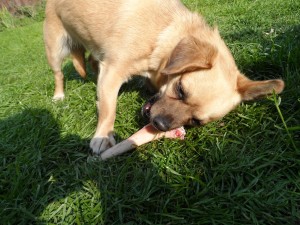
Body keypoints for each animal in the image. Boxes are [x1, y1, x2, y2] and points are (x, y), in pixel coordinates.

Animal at [42, 0, 284, 155]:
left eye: (196, 121)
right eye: (180, 89)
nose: (159, 125)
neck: (163, 33)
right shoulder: (113, 71)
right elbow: (109, 109)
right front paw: (102, 137)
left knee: (92, 63)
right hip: (55, 49)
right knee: (59, 74)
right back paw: (59, 96)